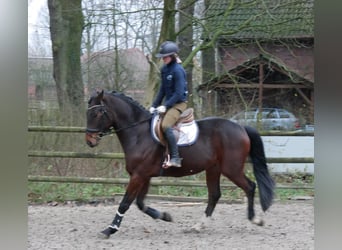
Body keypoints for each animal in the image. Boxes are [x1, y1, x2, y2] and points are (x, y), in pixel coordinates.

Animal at [85, 90, 276, 238]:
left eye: (97, 113)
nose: (89, 141)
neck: (138, 133)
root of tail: (241, 127)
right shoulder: (144, 176)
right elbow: (140, 203)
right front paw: (165, 216)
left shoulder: (139, 175)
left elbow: (125, 203)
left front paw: (110, 229)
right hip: (213, 168)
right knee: (214, 195)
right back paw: (199, 226)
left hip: (232, 169)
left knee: (249, 187)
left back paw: (255, 219)